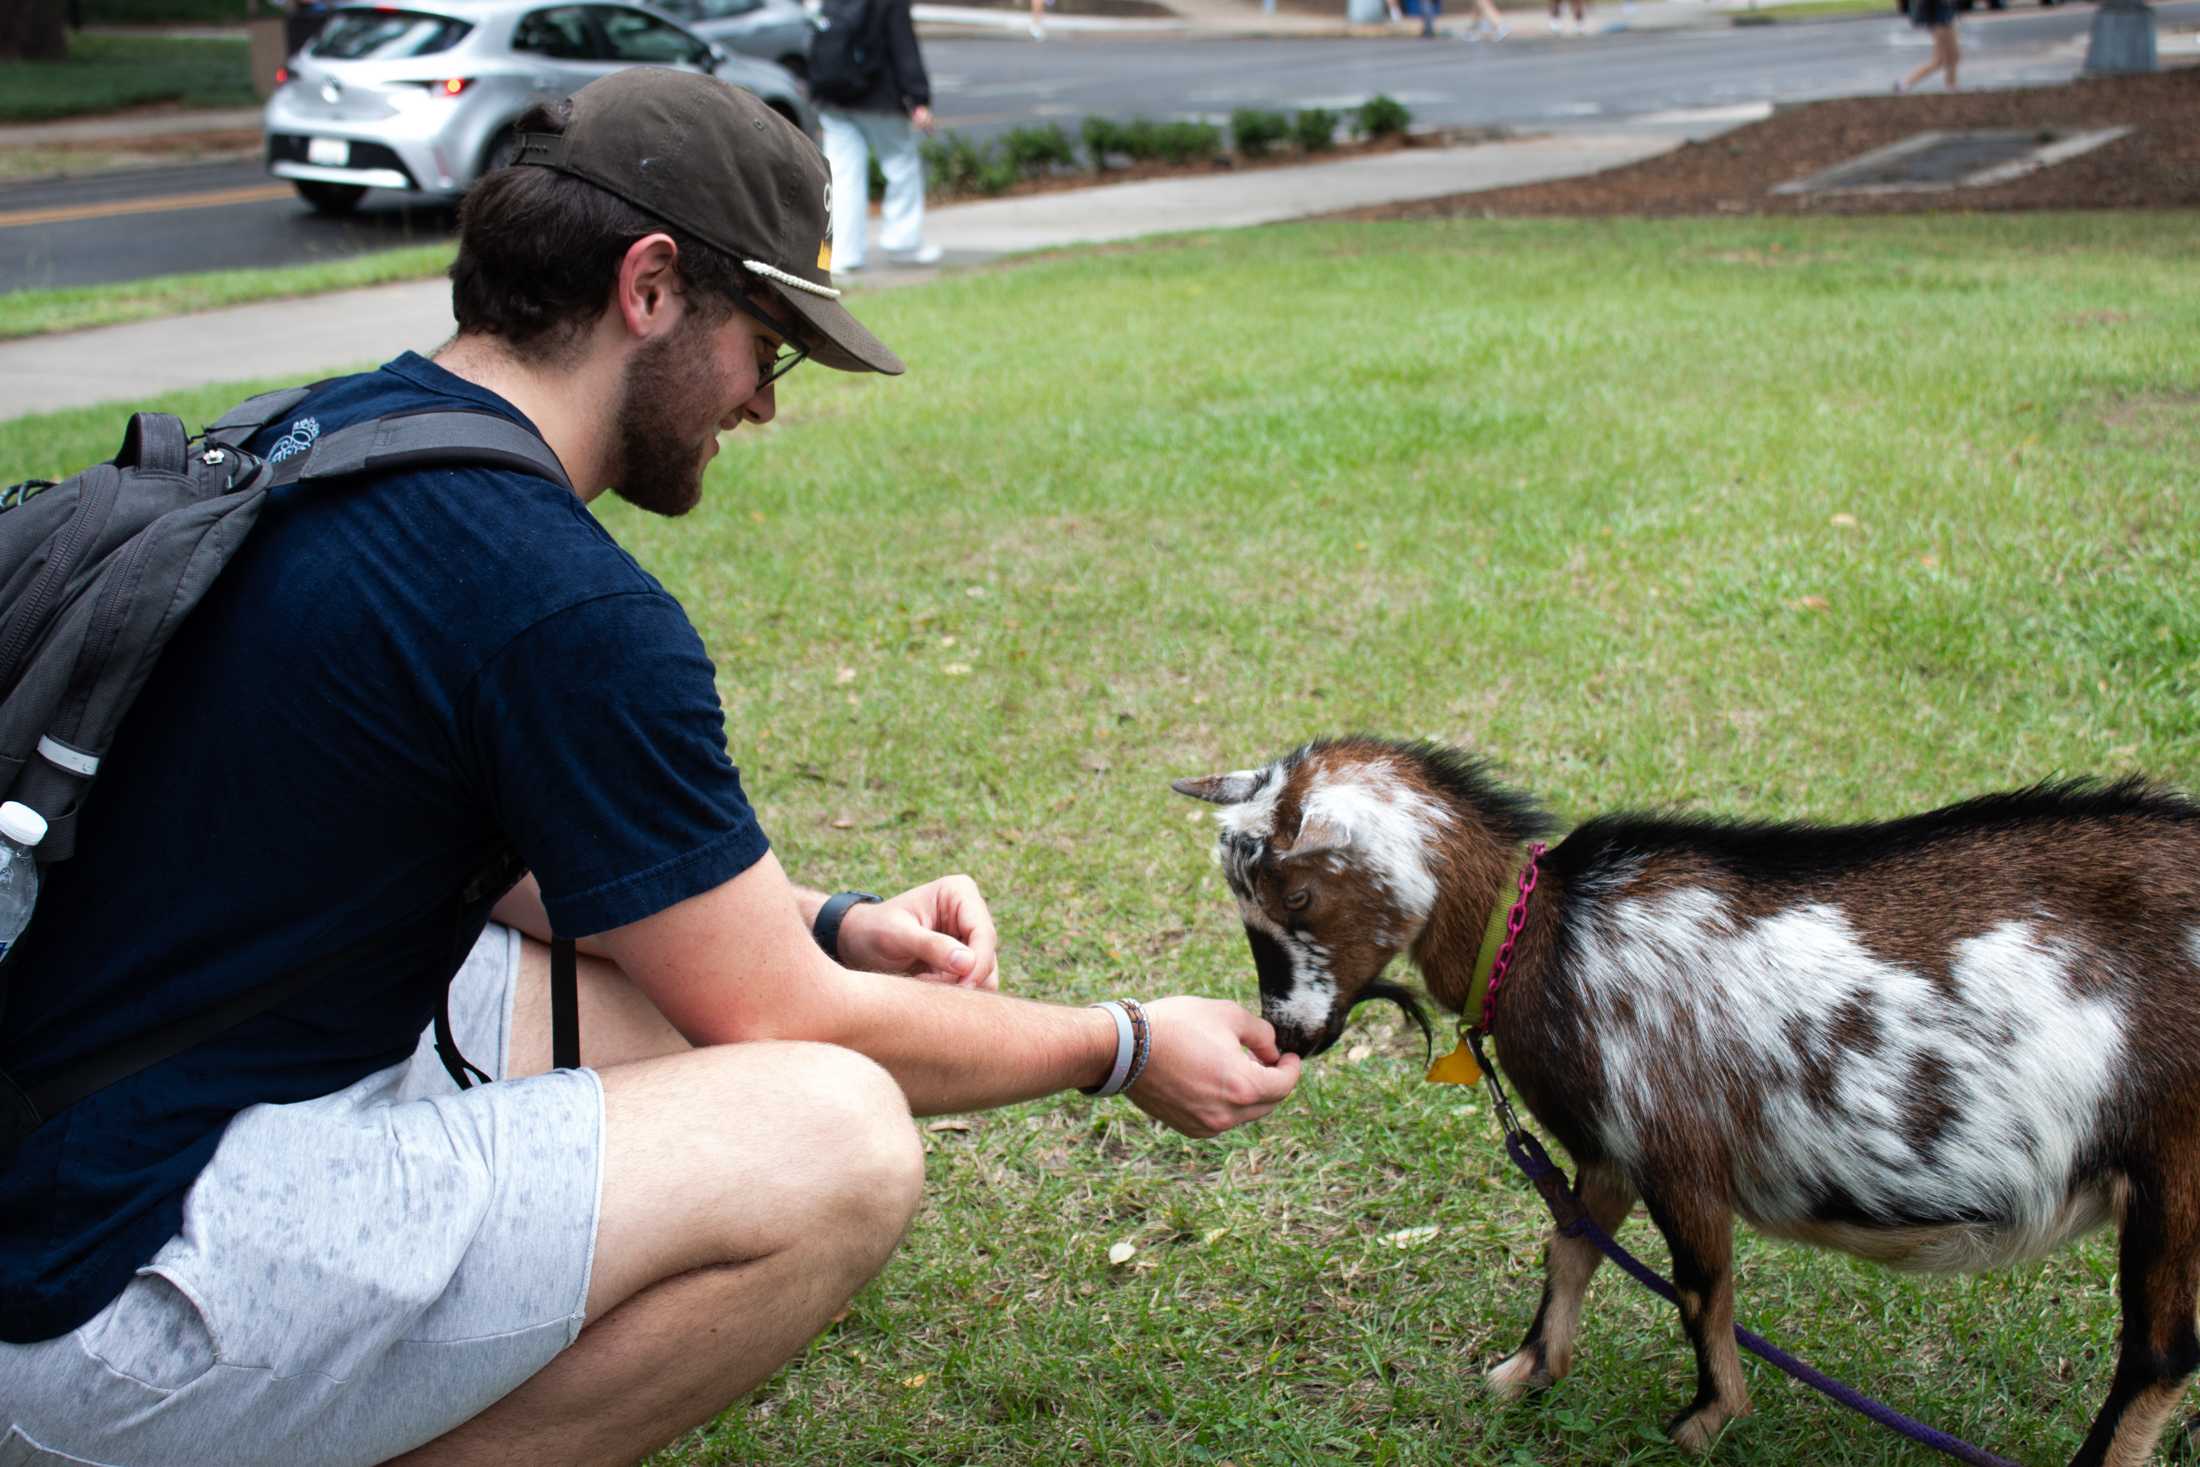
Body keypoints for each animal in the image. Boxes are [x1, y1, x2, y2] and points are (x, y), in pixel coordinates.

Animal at [1179, 734, 2200, 1467]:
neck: (1545, 936)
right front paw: (1522, 1372)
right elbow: (1569, 1247)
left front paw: (1707, 1421)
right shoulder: (1610, 1147)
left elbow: (1700, 1288)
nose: (1288, 1034)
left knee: (2160, 1353)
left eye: (1298, 894)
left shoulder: (1678, 1150)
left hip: (2175, 1165)